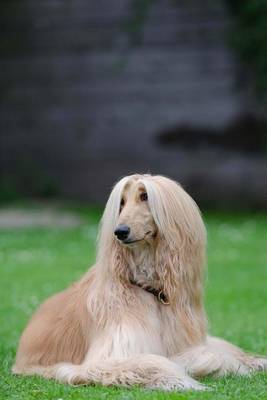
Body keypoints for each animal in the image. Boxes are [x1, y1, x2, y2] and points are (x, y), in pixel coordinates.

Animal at [13, 173, 267, 390]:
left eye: (145, 196)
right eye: (121, 202)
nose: (120, 231)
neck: (147, 287)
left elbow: (210, 352)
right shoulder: (106, 357)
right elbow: (162, 361)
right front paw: (184, 378)